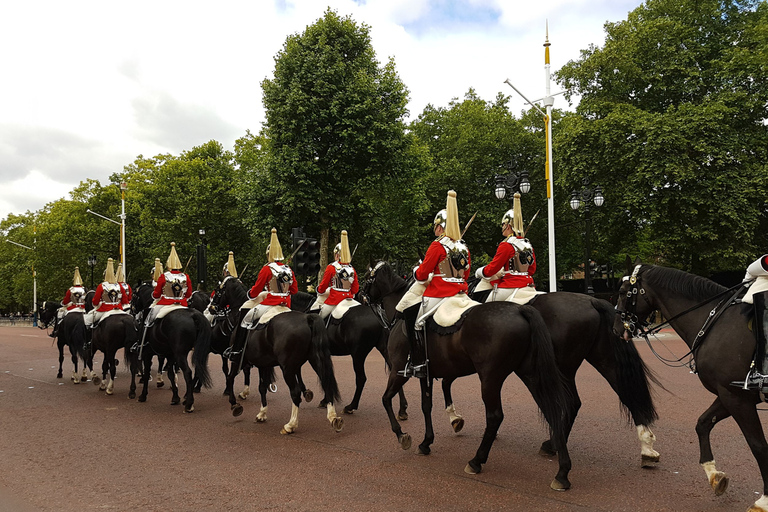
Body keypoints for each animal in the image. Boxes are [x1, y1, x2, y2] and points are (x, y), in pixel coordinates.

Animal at [130, 282, 212, 410]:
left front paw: (143, 395)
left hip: (180, 354)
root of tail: (193, 315)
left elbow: (148, 371)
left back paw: (189, 403)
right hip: (197, 351)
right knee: (198, 368)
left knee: (188, 372)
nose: (132, 312)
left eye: (133, 295)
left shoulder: (147, 353)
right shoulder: (170, 354)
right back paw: (187, 397)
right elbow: (170, 374)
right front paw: (175, 397)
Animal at [210, 278, 342, 434]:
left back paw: (290, 425)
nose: (211, 308)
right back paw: (333, 418)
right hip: (315, 360)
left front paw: (235, 405)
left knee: (295, 393)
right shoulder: (263, 363)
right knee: (326, 383)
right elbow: (262, 387)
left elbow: (230, 378)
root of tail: (307, 318)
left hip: (287, 368)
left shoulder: (238, 360)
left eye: (218, 290)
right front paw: (262, 413)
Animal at [364, 262, 572, 490]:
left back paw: (476, 461)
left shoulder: (399, 371)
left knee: (495, 416)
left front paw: (402, 435)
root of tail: (520, 309)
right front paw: (427, 442)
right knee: (551, 409)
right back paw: (562, 471)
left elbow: (386, 399)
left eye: (366, 277)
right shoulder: (425, 373)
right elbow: (426, 406)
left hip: (490, 378)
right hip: (530, 373)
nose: (359, 295)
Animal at [616, 262, 768, 510]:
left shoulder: (737, 398)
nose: (616, 329)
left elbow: (758, 446)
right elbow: (703, 424)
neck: (715, 322)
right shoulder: (729, 395)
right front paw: (714, 475)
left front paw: (764, 500)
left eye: (622, 292)